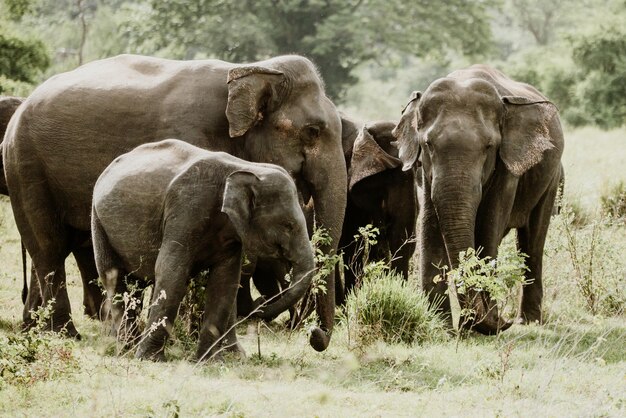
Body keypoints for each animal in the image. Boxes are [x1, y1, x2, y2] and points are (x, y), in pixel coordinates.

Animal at [91, 139, 316, 360]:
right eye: (288, 225)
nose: (260, 305)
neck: (246, 168)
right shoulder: (187, 209)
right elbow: (172, 273)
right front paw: (150, 359)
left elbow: (225, 282)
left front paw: (209, 361)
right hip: (98, 221)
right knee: (114, 279)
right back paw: (127, 350)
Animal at [392, 64, 564, 334]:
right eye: (428, 144)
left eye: (489, 146)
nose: (502, 321)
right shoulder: (424, 171)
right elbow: (430, 227)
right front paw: (443, 329)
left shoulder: (507, 166)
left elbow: (489, 226)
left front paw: (476, 325)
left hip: (551, 177)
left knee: (533, 239)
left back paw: (528, 322)